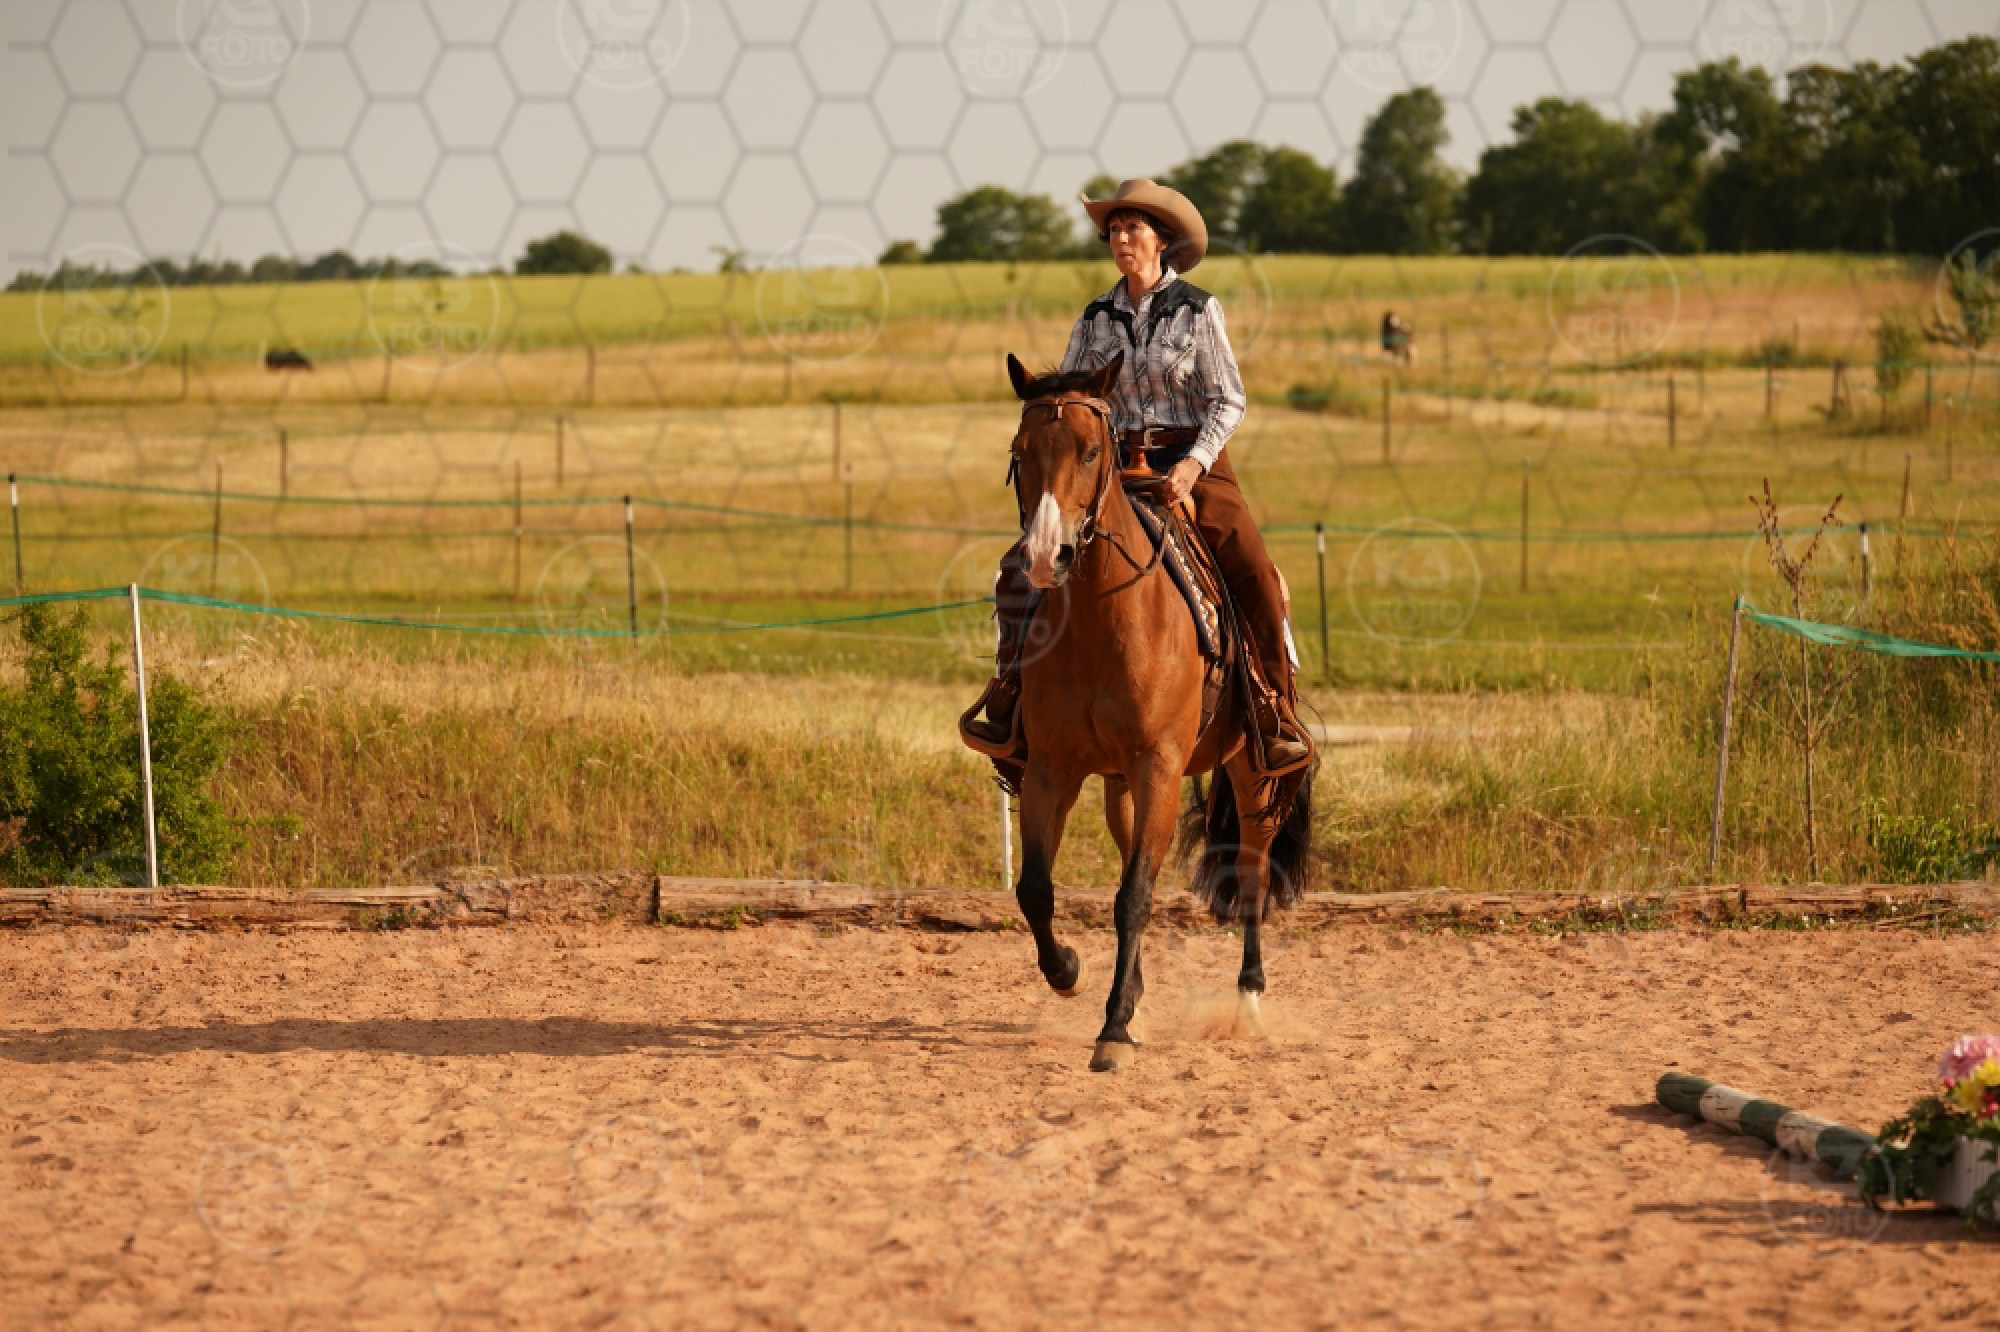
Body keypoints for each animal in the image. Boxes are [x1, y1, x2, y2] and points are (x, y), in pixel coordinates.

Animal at [1001, 350, 1314, 1072]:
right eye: (1019, 453)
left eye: (1091, 450)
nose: (1044, 557)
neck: (1103, 619)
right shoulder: (1052, 769)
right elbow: (1037, 889)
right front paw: (1070, 972)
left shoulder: (1160, 766)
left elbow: (1136, 895)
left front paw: (1114, 1029)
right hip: (1120, 782)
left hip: (1251, 775)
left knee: (1251, 872)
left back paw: (1247, 1003)